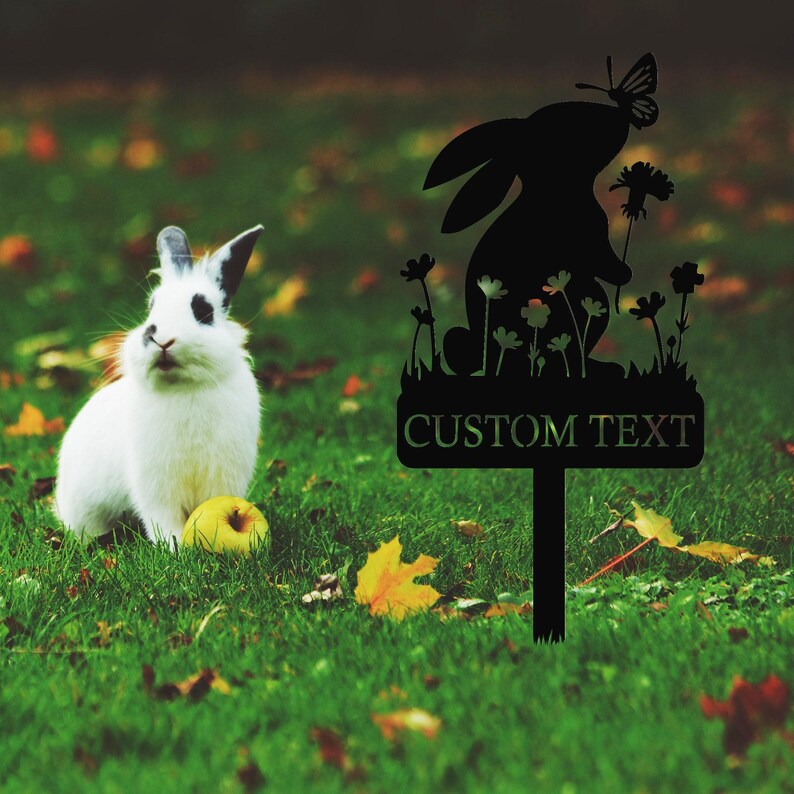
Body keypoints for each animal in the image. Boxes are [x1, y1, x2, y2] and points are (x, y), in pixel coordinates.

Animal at [54, 224, 263, 547]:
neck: (185, 387)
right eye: (151, 308)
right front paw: (175, 547)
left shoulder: (222, 477)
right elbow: (162, 518)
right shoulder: (156, 485)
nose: (159, 338)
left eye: (203, 311)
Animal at [425, 54, 658, 377]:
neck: (554, 188)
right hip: (583, 297)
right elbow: (604, 261)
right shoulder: (589, 237)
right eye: (577, 122)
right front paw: (626, 273)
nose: (618, 115)